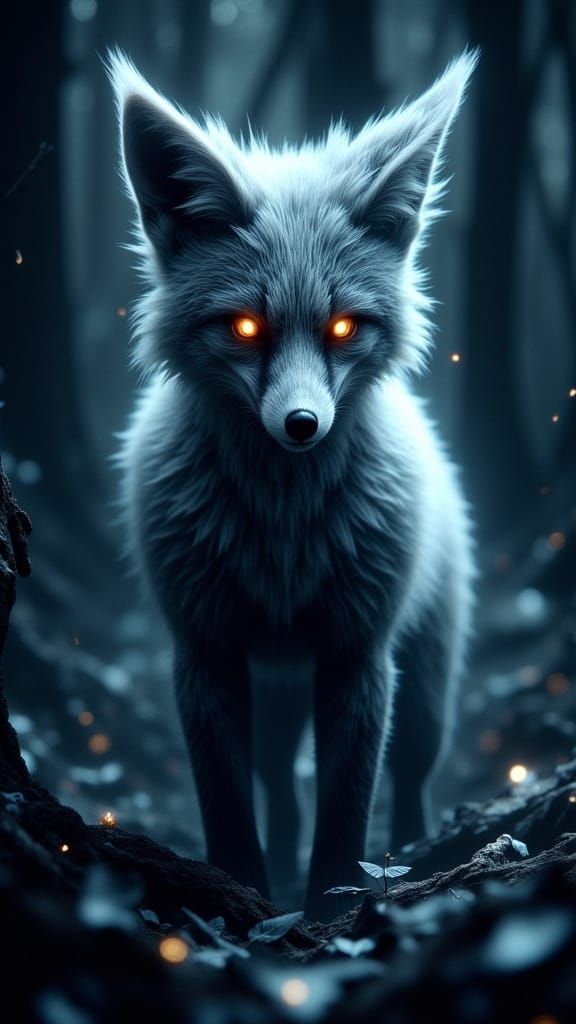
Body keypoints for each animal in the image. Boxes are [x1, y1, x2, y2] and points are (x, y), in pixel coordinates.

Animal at [109, 49, 477, 920]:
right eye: (246, 326)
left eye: (344, 326)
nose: (302, 425)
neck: (282, 539)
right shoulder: (205, 652)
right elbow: (227, 806)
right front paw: (241, 895)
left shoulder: (358, 655)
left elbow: (345, 814)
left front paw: (333, 910)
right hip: (274, 696)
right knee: (278, 781)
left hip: (424, 690)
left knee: (410, 778)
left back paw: (415, 854)